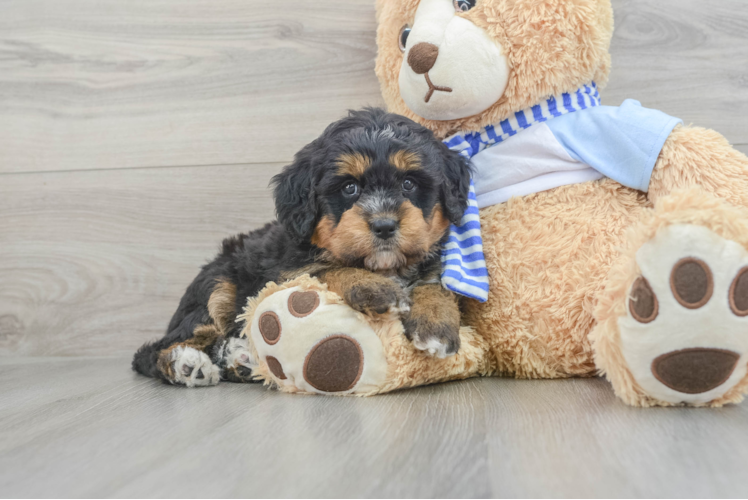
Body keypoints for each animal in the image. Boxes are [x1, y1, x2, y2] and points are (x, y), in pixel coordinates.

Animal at [129, 108, 468, 386]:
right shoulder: (287, 272)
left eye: (409, 184)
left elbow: (436, 286)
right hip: (217, 286)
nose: (384, 225)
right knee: (156, 349)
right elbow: (331, 269)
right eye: (349, 188)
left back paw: (240, 359)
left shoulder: (431, 263)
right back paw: (186, 365)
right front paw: (375, 288)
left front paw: (435, 325)